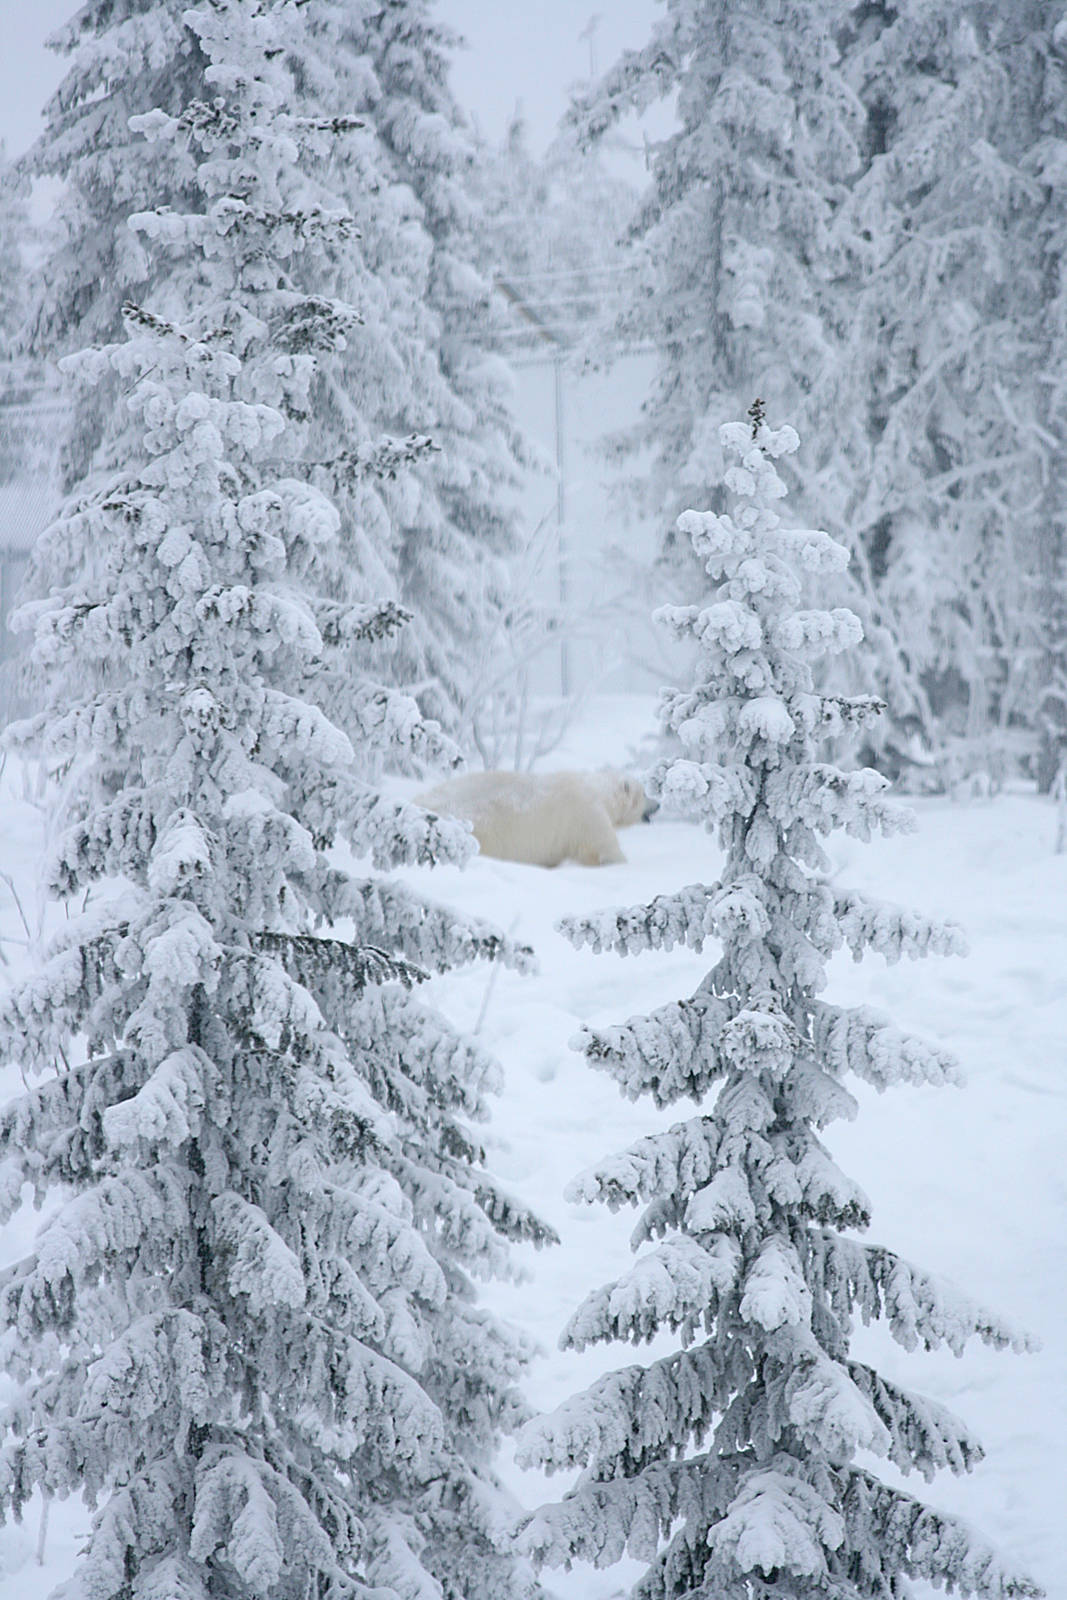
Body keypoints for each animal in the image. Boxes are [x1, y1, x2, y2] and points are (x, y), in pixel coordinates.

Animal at [413, 768, 653, 868]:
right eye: (644, 794)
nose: (657, 804)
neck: (598, 791)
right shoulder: (586, 815)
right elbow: (603, 847)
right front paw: (620, 863)